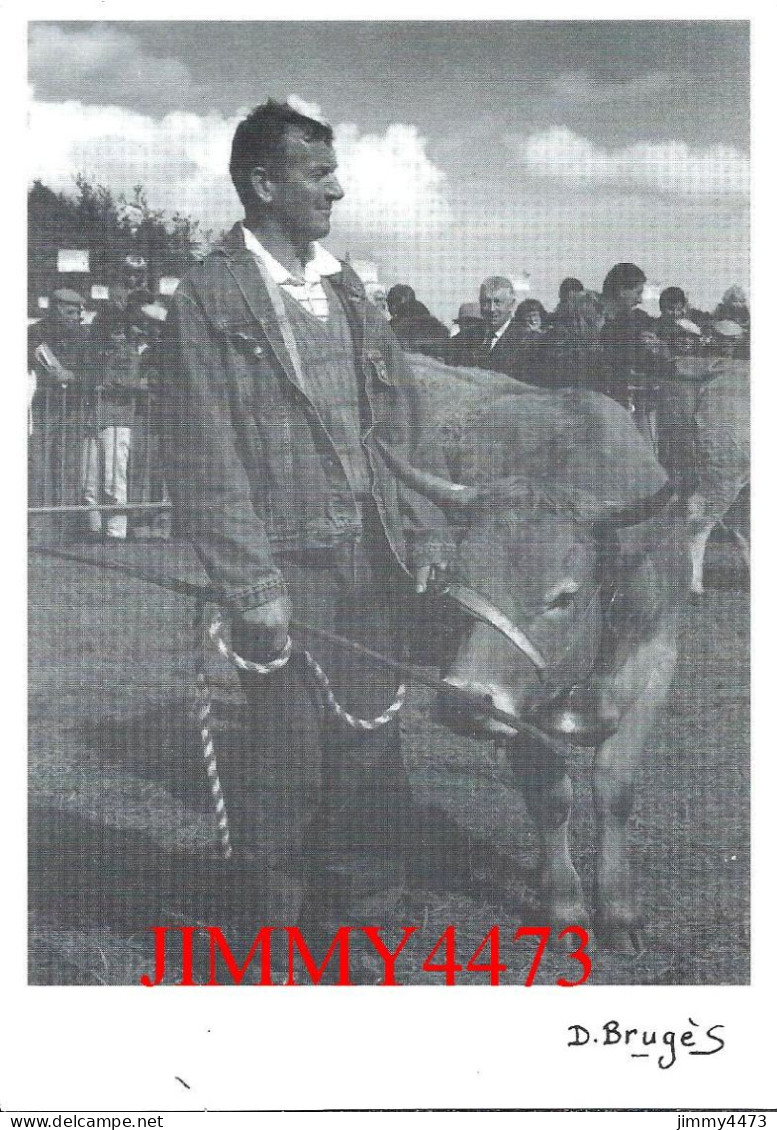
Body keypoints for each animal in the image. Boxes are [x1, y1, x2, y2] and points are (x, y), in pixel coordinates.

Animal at [374, 363, 686, 953]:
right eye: (456, 580)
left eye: (563, 597)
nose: (465, 701)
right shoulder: (520, 710)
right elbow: (550, 796)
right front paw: (565, 907)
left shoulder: (654, 667)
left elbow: (614, 788)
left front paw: (620, 912)